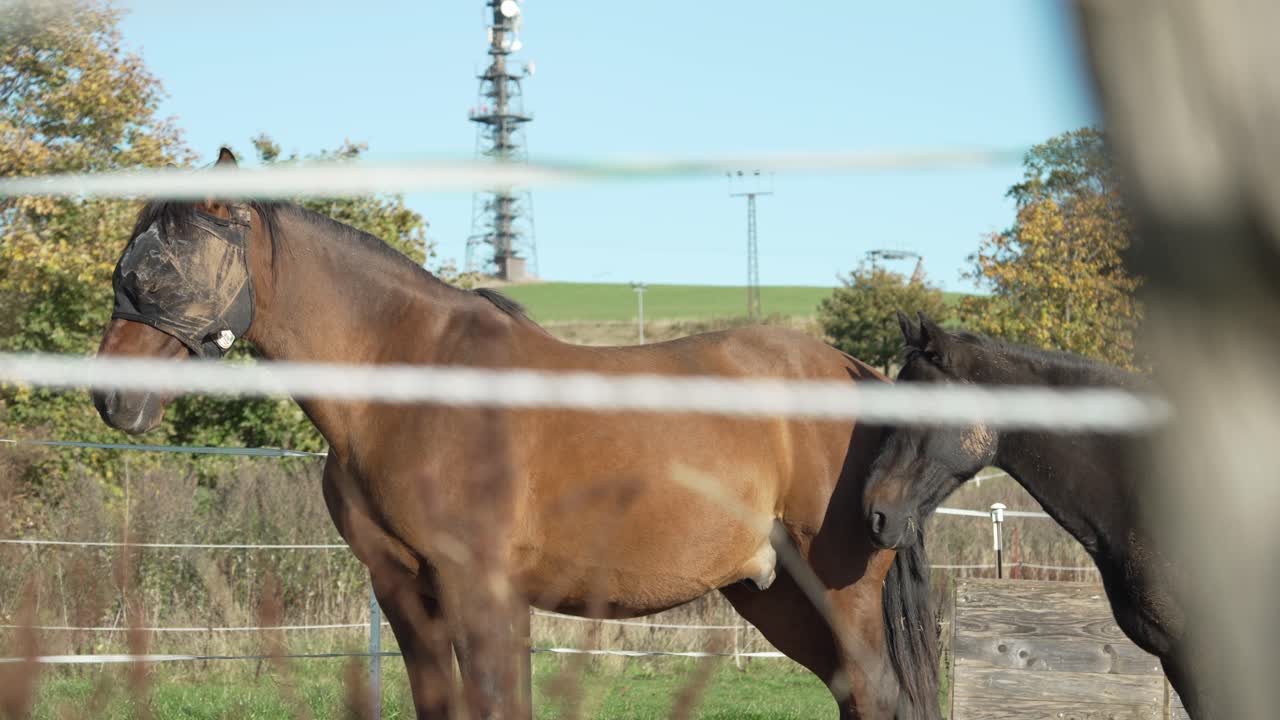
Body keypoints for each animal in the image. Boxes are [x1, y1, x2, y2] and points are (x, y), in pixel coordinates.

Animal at [90, 147, 940, 719]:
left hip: (839, 595)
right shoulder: (407, 595)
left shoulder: (483, 593)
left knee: (877, 697)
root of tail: (854, 371)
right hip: (774, 594)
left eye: (162, 269)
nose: (111, 399)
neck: (414, 381)